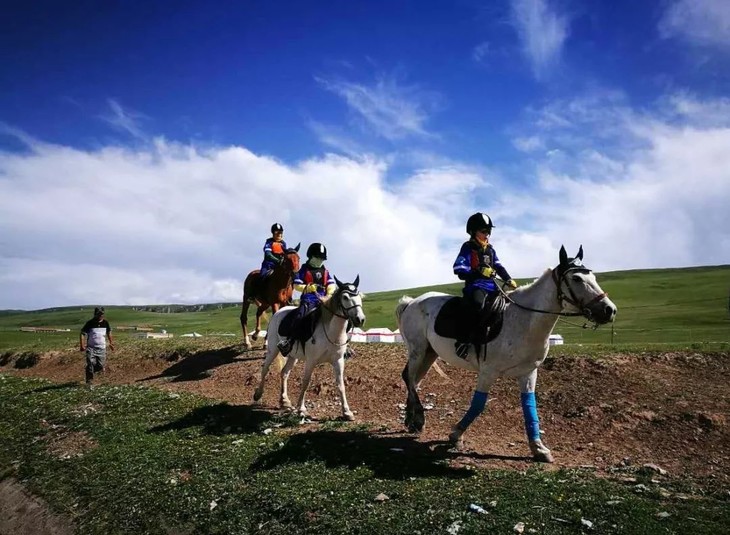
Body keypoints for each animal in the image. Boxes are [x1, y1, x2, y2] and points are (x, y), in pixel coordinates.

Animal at [252, 278, 364, 420]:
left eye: (359, 295)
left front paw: (347, 412)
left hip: (293, 356)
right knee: (265, 369)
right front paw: (301, 409)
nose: (360, 319)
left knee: (284, 373)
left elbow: (340, 385)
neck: (330, 330)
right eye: (345, 297)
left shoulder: (338, 361)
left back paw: (284, 401)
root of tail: (279, 312)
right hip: (273, 350)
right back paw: (258, 394)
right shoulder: (311, 361)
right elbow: (306, 382)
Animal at [392, 245, 616, 462]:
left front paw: (539, 448)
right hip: (418, 350)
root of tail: (411, 302)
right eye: (577, 278)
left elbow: (529, 407)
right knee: (409, 377)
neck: (524, 321)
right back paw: (418, 418)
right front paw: (456, 435)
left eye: (594, 277)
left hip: (430, 353)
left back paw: (411, 420)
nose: (609, 310)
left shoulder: (528, 373)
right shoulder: (488, 372)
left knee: (414, 380)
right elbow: (478, 404)